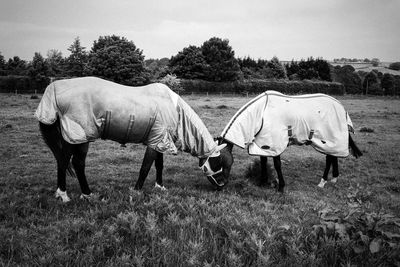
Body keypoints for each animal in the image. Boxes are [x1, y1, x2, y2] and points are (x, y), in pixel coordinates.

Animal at [35, 76, 227, 202]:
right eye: (217, 162)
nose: (222, 186)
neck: (174, 109)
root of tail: (54, 89)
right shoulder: (155, 140)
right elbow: (145, 167)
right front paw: (136, 191)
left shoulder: (159, 139)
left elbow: (159, 165)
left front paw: (159, 187)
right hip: (78, 136)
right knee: (70, 162)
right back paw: (74, 195)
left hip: (75, 137)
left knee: (67, 161)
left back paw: (72, 193)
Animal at [216, 90, 362, 193]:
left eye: (217, 161)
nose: (219, 186)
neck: (261, 114)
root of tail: (342, 108)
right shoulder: (264, 143)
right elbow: (263, 162)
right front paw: (262, 183)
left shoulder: (275, 144)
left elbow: (277, 165)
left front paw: (281, 187)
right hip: (330, 140)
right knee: (333, 156)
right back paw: (334, 179)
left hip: (327, 139)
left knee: (329, 159)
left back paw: (322, 182)